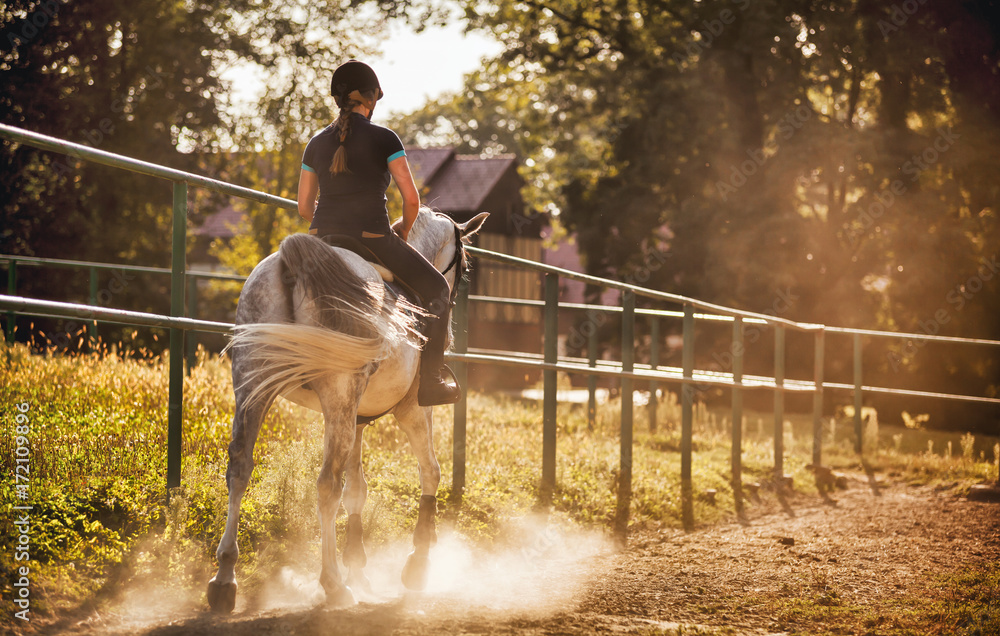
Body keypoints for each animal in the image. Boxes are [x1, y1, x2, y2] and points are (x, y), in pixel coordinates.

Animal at [207, 210, 488, 612]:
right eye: (464, 266)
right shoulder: (413, 411)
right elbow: (430, 472)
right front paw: (417, 563)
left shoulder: (357, 421)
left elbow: (358, 489)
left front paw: (359, 566)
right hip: (337, 395)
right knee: (327, 485)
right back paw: (333, 583)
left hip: (253, 387)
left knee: (240, 468)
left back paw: (225, 577)